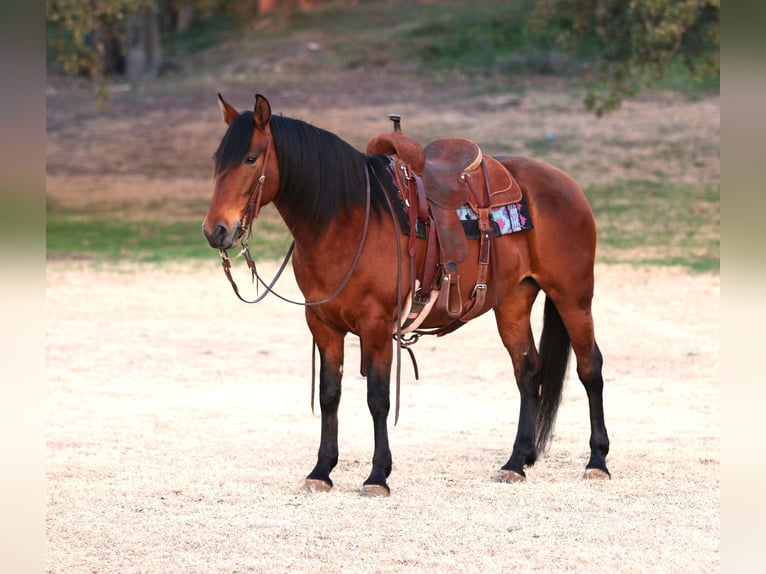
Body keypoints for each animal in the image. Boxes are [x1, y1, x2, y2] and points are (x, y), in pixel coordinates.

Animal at [202, 93, 612, 496]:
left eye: (250, 158)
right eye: (217, 159)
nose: (215, 230)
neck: (345, 223)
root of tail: (565, 182)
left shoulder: (377, 326)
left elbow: (378, 399)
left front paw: (377, 475)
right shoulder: (322, 324)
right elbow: (330, 394)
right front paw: (322, 470)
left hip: (573, 296)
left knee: (590, 367)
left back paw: (597, 461)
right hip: (512, 302)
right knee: (528, 372)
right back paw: (515, 463)